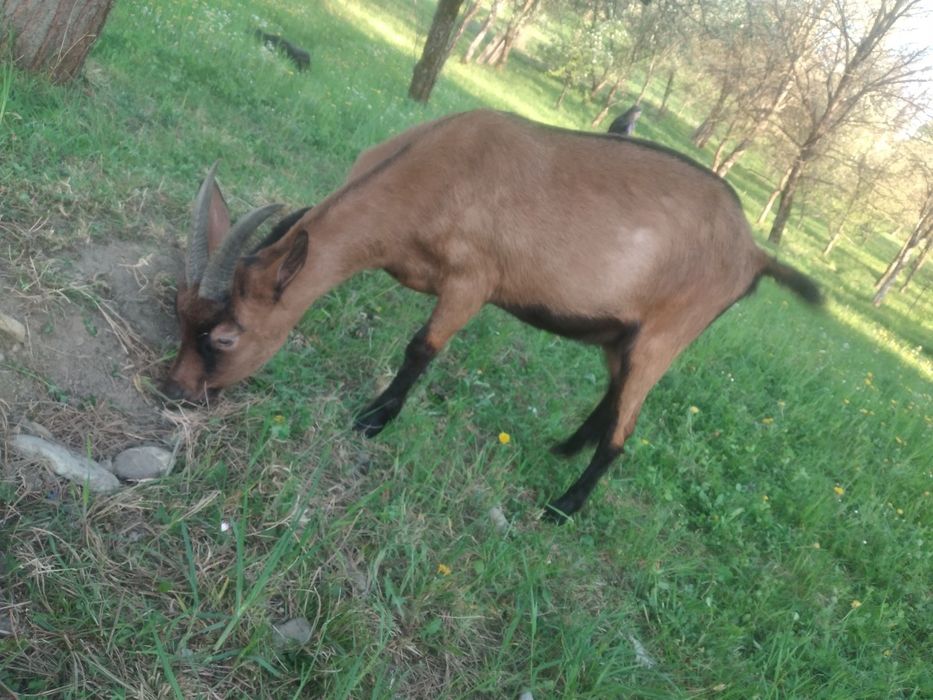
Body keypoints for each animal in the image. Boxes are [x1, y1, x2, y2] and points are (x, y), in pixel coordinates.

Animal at [166, 109, 821, 521]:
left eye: (226, 336)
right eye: (176, 311)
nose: (176, 390)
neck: (433, 169)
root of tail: (756, 254)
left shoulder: (472, 282)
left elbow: (422, 348)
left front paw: (372, 420)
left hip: (668, 333)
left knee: (625, 433)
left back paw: (563, 508)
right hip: (622, 333)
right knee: (614, 393)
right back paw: (564, 447)